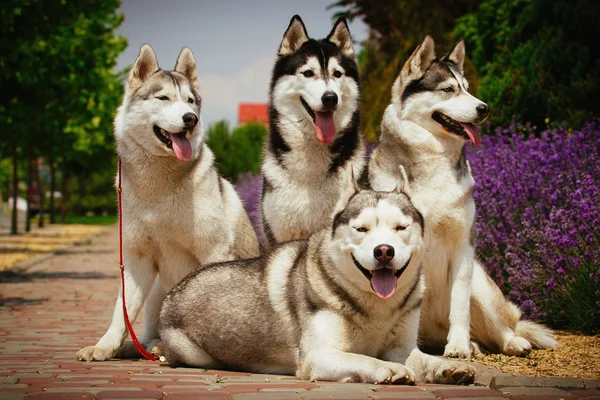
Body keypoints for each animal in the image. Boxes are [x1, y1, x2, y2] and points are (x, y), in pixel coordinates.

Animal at [76, 44, 258, 362]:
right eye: (163, 98)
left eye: (190, 101)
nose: (190, 118)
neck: (158, 189)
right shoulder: (136, 260)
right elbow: (121, 311)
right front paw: (104, 346)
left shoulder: (214, 249)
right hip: (159, 292)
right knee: (148, 332)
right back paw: (142, 346)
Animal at [158, 170, 474, 386]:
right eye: (361, 229)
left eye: (401, 227)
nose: (384, 251)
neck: (375, 309)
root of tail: (172, 292)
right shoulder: (317, 355)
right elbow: (362, 357)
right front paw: (390, 369)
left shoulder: (402, 347)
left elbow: (424, 358)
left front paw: (448, 367)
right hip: (191, 350)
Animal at [368, 36, 556, 356]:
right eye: (448, 89)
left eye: (466, 87)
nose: (485, 108)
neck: (435, 160)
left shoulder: (462, 248)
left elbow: (459, 307)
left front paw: (457, 346)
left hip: (480, 284)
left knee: (501, 328)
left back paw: (505, 342)